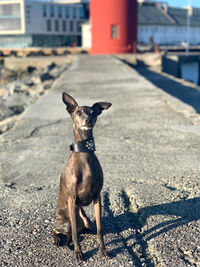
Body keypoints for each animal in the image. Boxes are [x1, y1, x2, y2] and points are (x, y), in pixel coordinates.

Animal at [53, 92, 111, 262]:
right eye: (78, 112)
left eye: (93, 112)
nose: (88, 120)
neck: (85, 154)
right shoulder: (72, 199)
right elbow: (75, 234)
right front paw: (79, 252)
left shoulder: (97, 196)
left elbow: (99, 228)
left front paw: (103, 250)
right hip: (64, 220)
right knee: (59, 230)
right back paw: (57, 239)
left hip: (86, 221)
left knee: (83, 228)